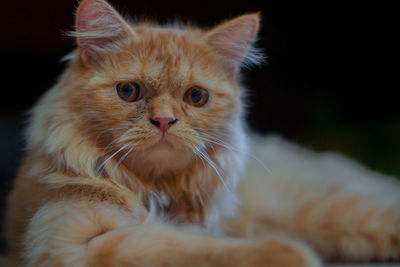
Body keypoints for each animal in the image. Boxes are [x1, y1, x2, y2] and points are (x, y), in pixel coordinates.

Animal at [0, 0, 400, 266]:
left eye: (196, 97)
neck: (155, 189)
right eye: (128, 92)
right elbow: (194, 248)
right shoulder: (73, 241)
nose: (164, 121)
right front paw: (294, 254)